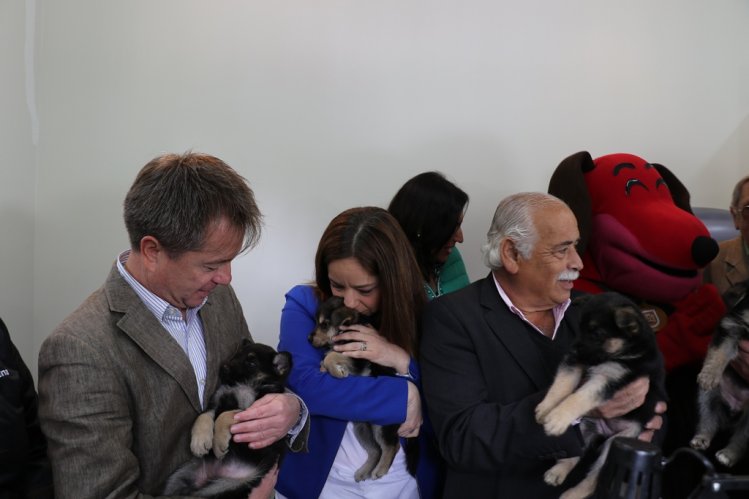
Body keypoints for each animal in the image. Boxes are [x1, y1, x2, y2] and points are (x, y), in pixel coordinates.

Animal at [163, 340, 290, 499]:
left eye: (252, 362)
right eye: (236, 354)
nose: (223, 367)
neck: (243, 384)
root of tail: (211, 476)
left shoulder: (253, 412)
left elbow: (225, 415)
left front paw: (218, 442)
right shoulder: (215, 403)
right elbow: (203, 416)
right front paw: (199, 441)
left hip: (228, 486)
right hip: (179, 477)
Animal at [306, 298, 418, 482]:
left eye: (324, 324)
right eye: (316, 322)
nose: (308, 339)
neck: (348, 328)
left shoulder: (357, 357)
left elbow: (332, 355)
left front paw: (336, 371)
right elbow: (328, 357)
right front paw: (328, 368)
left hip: (381, 426)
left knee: (391, 445)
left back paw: (380, 470)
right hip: (362, 429)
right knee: (375, 450)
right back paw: (363, 471)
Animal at [536, 292, 664, 499]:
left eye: (596, 334)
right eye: (580, 328)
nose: (572, 349)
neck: (625, 351)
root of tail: (604, 432)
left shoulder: (609, 378)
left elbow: (579, 397)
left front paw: (557, 418)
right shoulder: (575, 362)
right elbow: (562, 384)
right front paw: (547, 408)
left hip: (615, 445)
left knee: (594, 479)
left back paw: (571, 495)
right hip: (582, 429)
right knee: (573, 454)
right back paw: (557, 472)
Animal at [692, 282, 749, 468]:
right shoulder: (731, 328)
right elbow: (720, 352)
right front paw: (709, 376)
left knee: (741, 439)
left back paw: (728, 455)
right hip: (707, 397)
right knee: (708, 418)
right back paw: (701, 439)